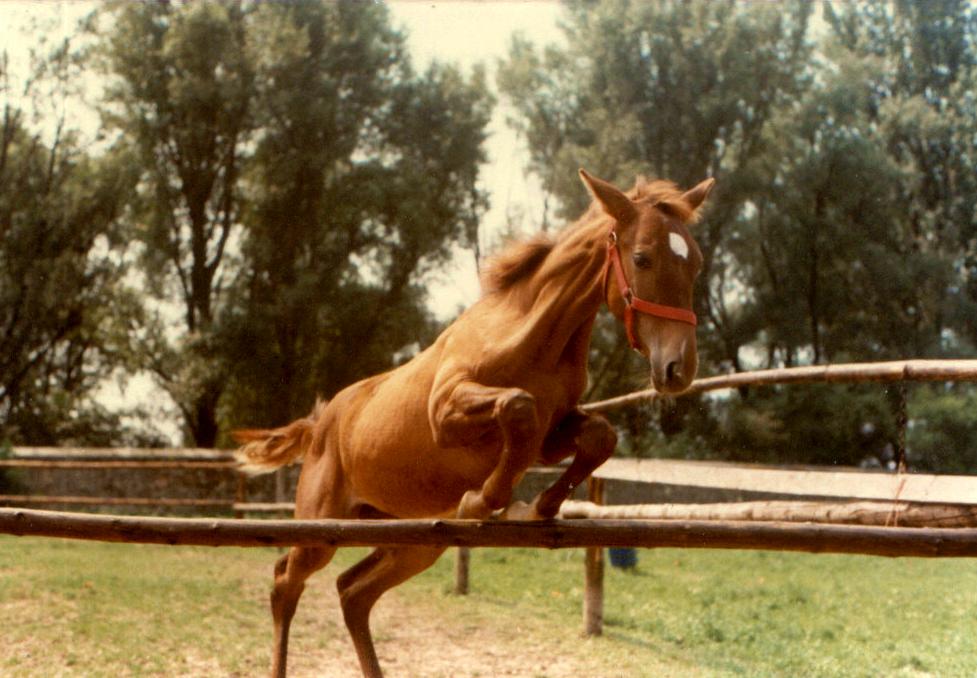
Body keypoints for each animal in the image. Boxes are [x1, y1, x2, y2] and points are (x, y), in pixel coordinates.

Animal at [234, 167, 712, 676]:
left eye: (697, 262)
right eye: (642, 258)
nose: (678, 368)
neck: (527, 335)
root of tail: (321, 423)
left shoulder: (552, 435)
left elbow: (597, 436)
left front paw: (536, 507)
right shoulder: (448, 413)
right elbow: (517, 409)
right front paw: (485, 502)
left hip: (412, 542)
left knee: (352, 592)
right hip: (321, 531)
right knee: (286, 581)